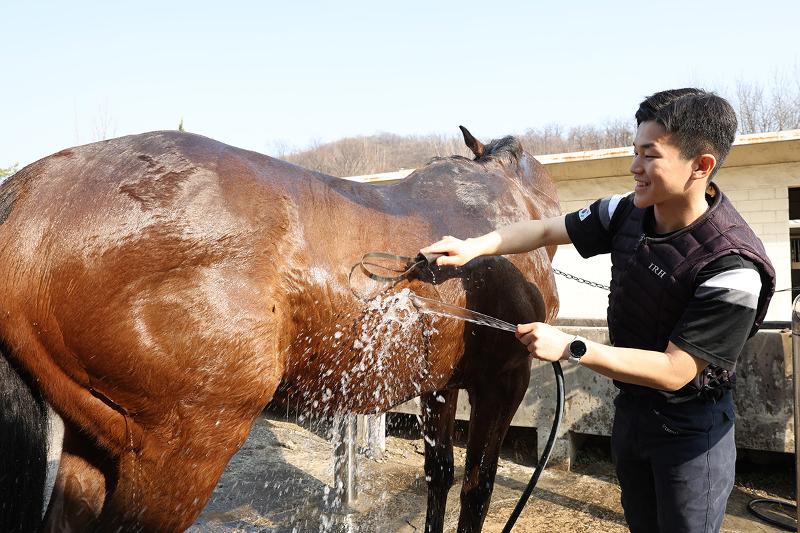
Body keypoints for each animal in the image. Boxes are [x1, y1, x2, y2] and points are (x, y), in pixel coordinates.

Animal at [0, 126, 560, 532]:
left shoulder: (440, 387)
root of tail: (29, 196)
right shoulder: (503, 381)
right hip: (180, 453)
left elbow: (440, 476)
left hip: (92, 442)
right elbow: (477, 486)